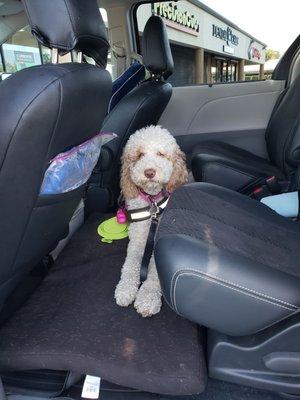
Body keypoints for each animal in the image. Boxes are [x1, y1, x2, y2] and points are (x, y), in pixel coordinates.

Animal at [115, 125, 188, 316]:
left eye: (161, 154)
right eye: (139, 154)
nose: (149, 172)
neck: (152, 202)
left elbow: (155, 273)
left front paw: (147, 298)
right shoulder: (137, 240)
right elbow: (130, 264)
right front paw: (125, 289)